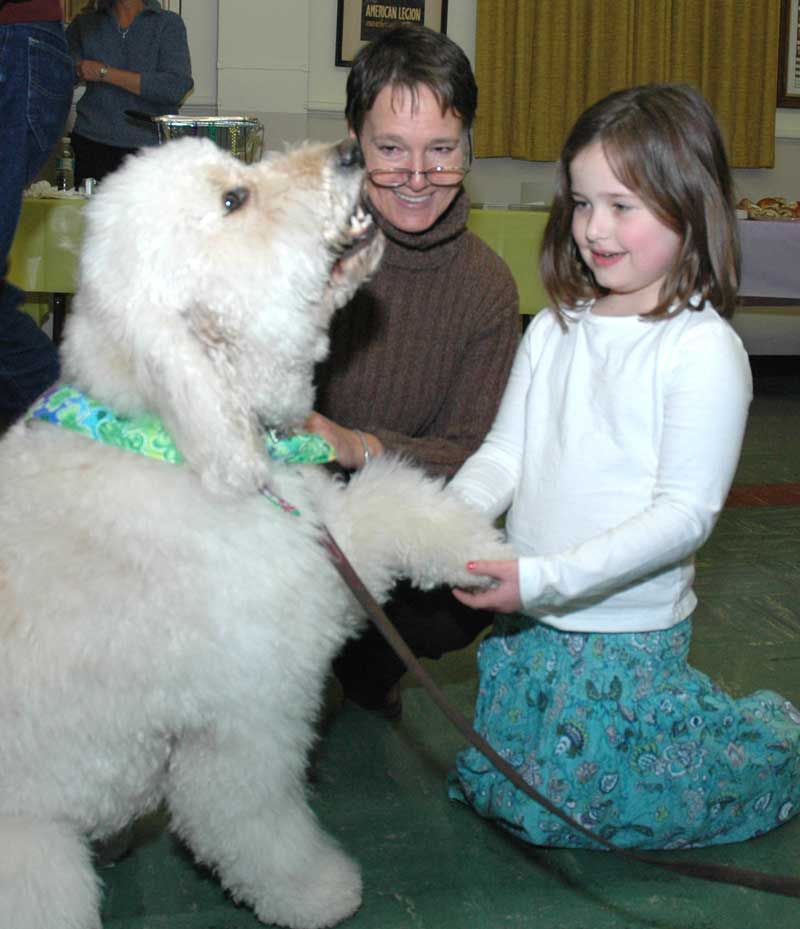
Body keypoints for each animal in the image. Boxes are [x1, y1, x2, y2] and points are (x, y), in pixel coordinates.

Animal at [0, 138, 512, 928]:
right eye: (233, 200)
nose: (348, 151)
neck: (186, 437)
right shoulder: (247, 718)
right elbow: (253, 826)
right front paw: (318, 893)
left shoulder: (321, 546)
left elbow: (394, 500)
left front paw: (479, 548)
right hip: (33, 857)